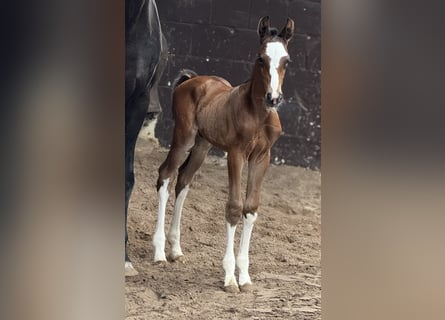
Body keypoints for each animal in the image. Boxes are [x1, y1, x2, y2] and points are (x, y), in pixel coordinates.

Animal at [154, 16, 294, 292]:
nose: (274, 98)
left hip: (202, 145)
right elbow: (233, 207)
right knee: (165, 175)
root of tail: (190, 80)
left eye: (286, 60)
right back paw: (160, 253)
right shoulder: (236, 154)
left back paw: (176, 250)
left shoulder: (262, 157)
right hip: (184, 139)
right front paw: (230, 277)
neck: (258, 114)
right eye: (260, 58)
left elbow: (250, 208)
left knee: (184, 181)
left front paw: (245, 277)